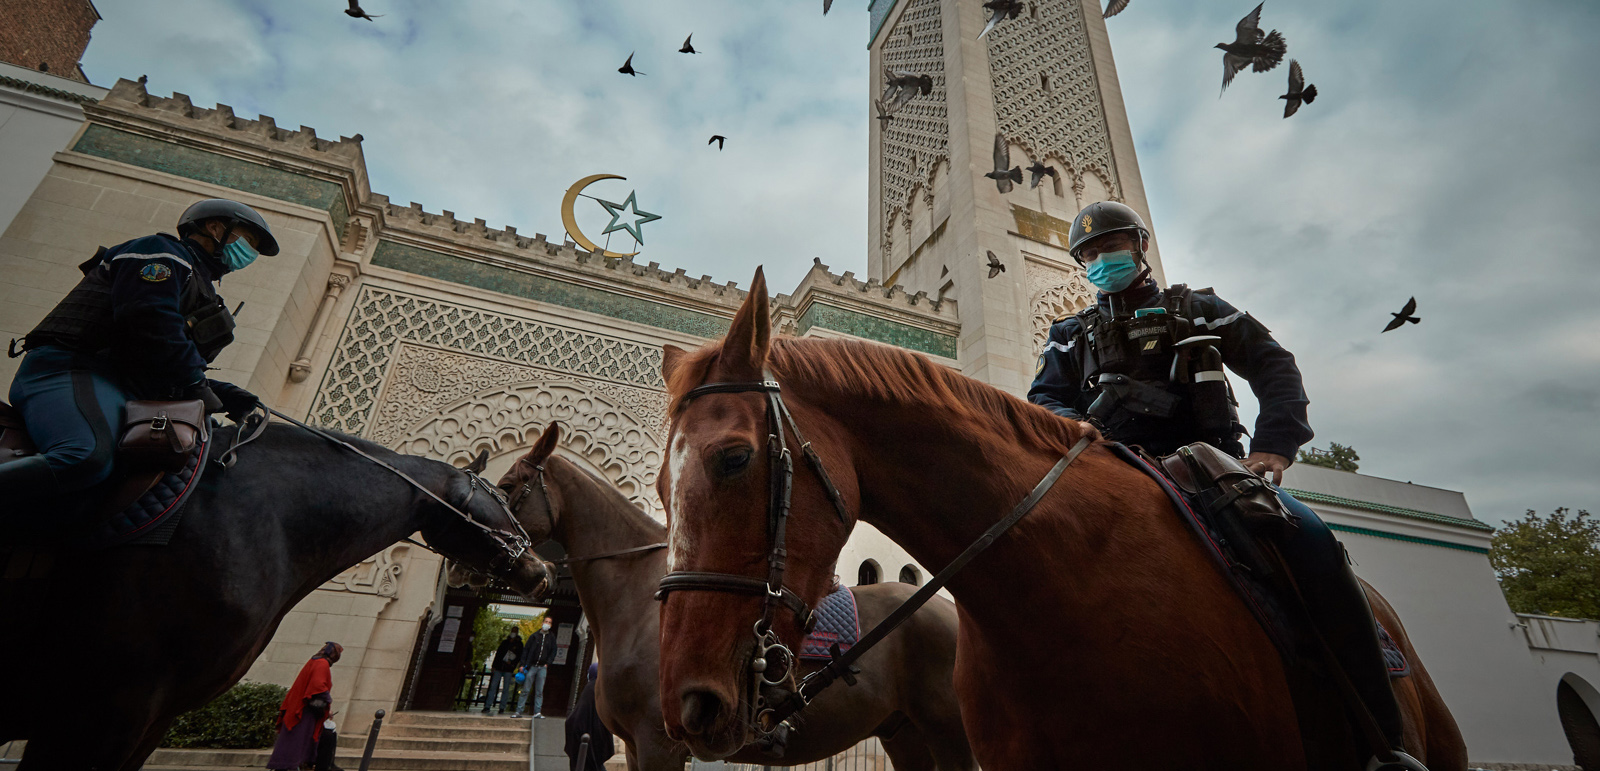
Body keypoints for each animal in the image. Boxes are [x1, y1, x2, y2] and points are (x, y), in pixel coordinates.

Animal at [496, 425, 972, 767]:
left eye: (506, 486)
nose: (533, 572)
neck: (639, 602)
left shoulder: (657, 743)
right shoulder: (634, 746)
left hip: (949, 733)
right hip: (903, 733)